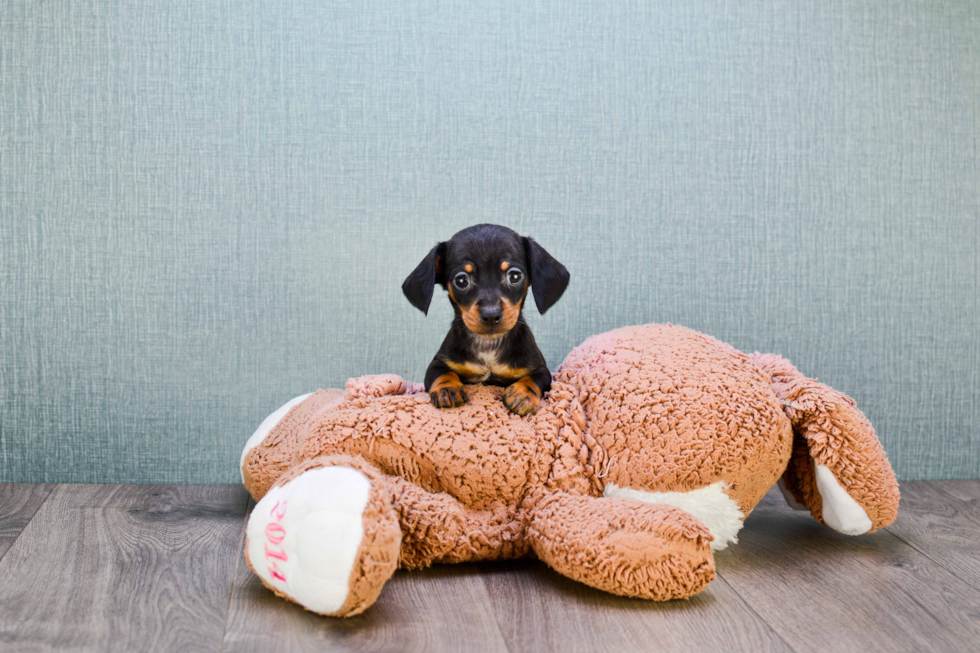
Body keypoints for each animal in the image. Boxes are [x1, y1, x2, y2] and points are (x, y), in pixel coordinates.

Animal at [402, 224, 572, 416]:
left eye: (514, 276)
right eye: (461, 280)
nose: (491, 315)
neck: (488, 346)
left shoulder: (541, 369)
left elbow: (535, 378)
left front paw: (524, 394)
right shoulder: (438, 363)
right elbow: (442, 373)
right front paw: (447, 388)